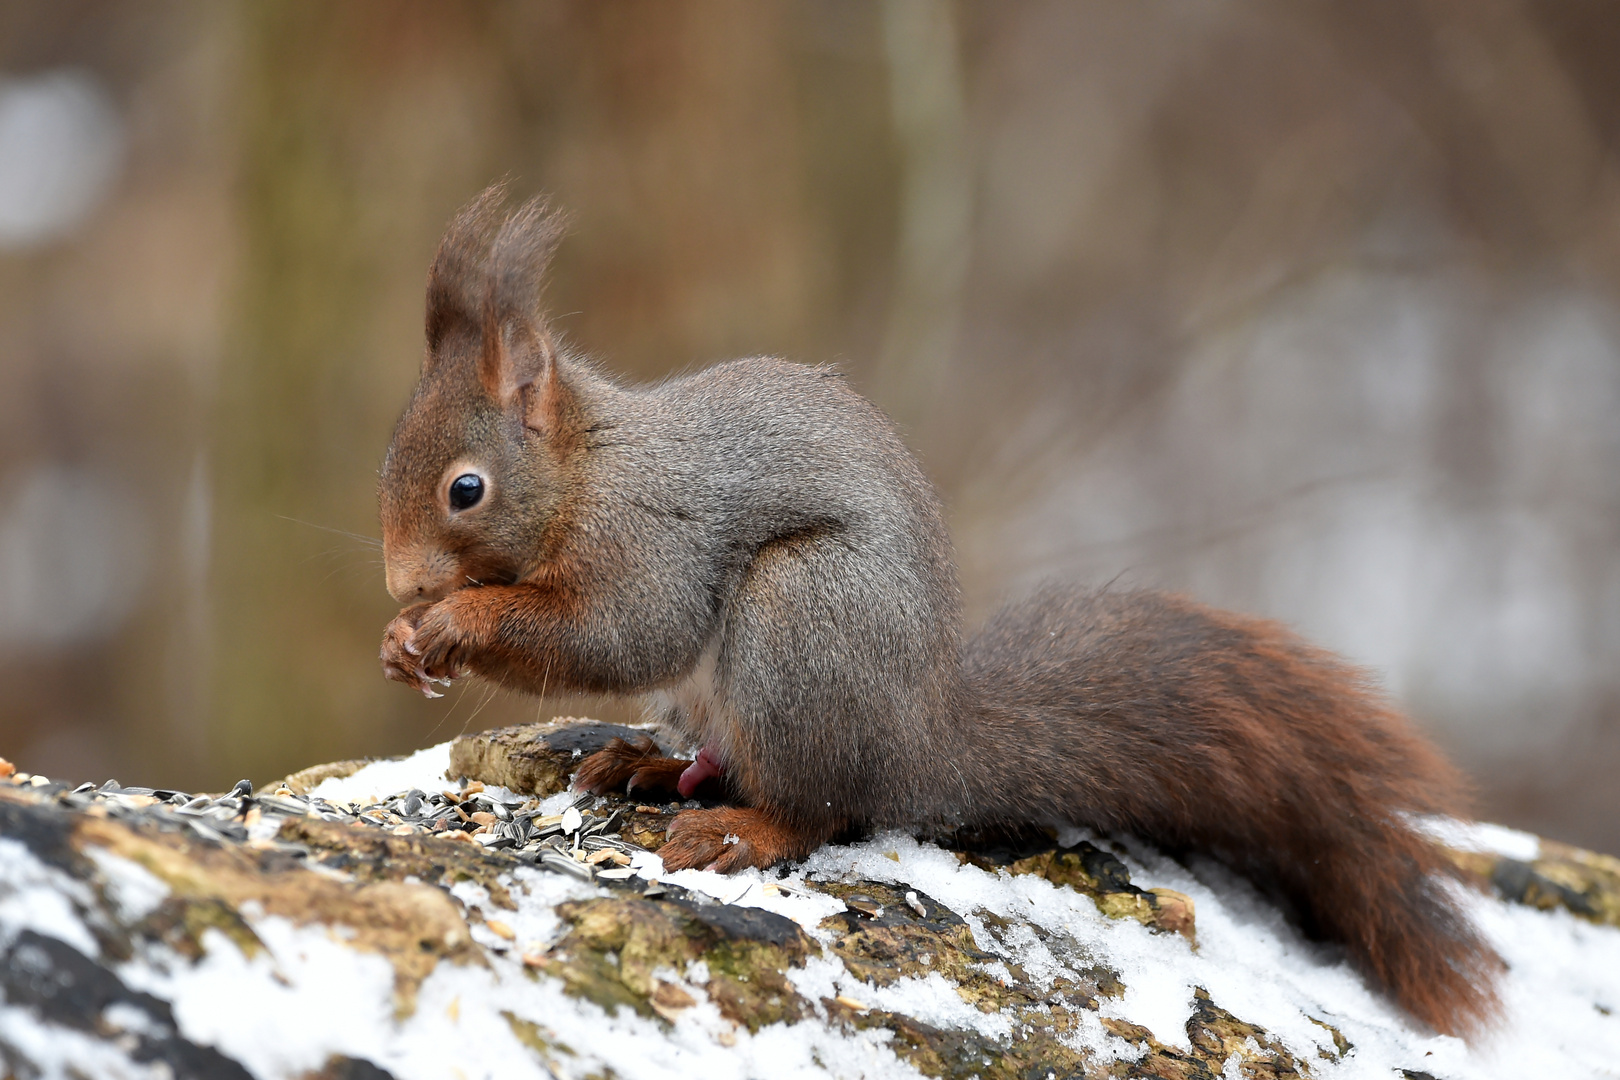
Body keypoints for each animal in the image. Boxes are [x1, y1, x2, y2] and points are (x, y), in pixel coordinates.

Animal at [375, 187, 1490, 1036]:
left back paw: (738, 831)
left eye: (464, 490)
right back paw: (647, 767)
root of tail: (917, 741)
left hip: (800, 622)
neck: (584, 472)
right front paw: (402, 641)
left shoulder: (651, 538)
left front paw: (454, 623)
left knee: (819, 807)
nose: (399, 587)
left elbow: (622, 632)